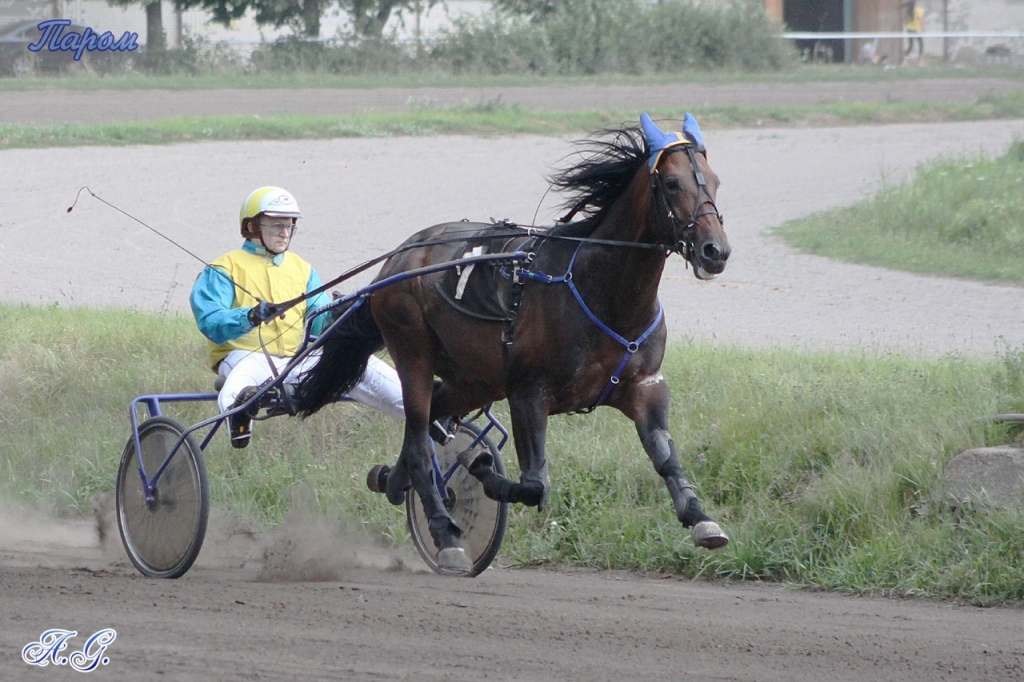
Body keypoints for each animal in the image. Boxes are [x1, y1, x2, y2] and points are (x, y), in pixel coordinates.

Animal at [296, 114, 729, 569]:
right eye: (672, 183)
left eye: (715, 181)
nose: (715, 251)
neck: (600, 291)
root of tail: (398, 259)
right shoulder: (528, 392)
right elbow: (536, 483)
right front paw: (481, 467)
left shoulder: (644, 386)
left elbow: (666, 456)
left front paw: (700, 517)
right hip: (412, 348)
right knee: (418, 438)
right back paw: (444, 531)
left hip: (474, 379)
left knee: (434, 414)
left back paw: (393, 480)